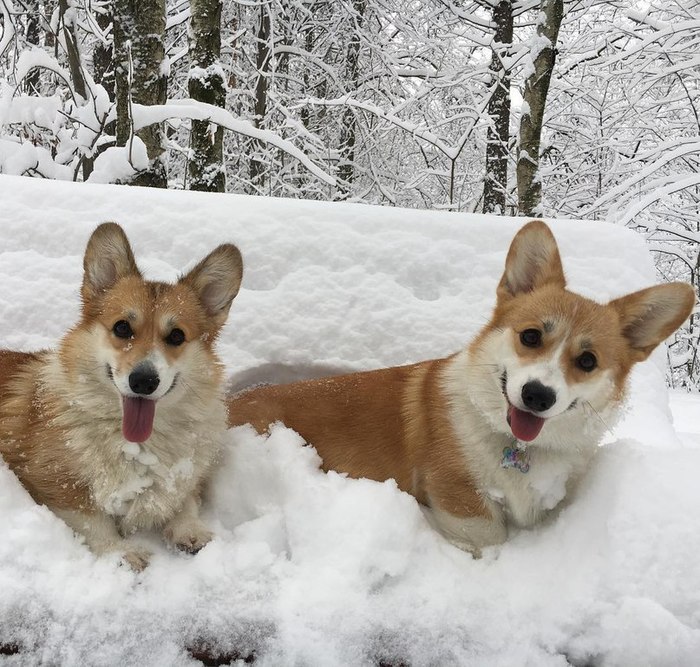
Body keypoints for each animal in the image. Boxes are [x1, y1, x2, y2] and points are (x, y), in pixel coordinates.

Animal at [0, 223, 243, 568]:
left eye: (176, 336)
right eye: (122, 328)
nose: (143, 381)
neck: (138, 444)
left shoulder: (185, 476)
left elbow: (184, 498)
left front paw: (189, 529)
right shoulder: (49, 480)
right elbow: (92, 519)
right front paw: (120, 551)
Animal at [230, 222, 696, 556]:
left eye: (587, 362)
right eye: (530, 337)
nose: (537, 396)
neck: (515, 445)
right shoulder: (452, 487)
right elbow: (490, 534)